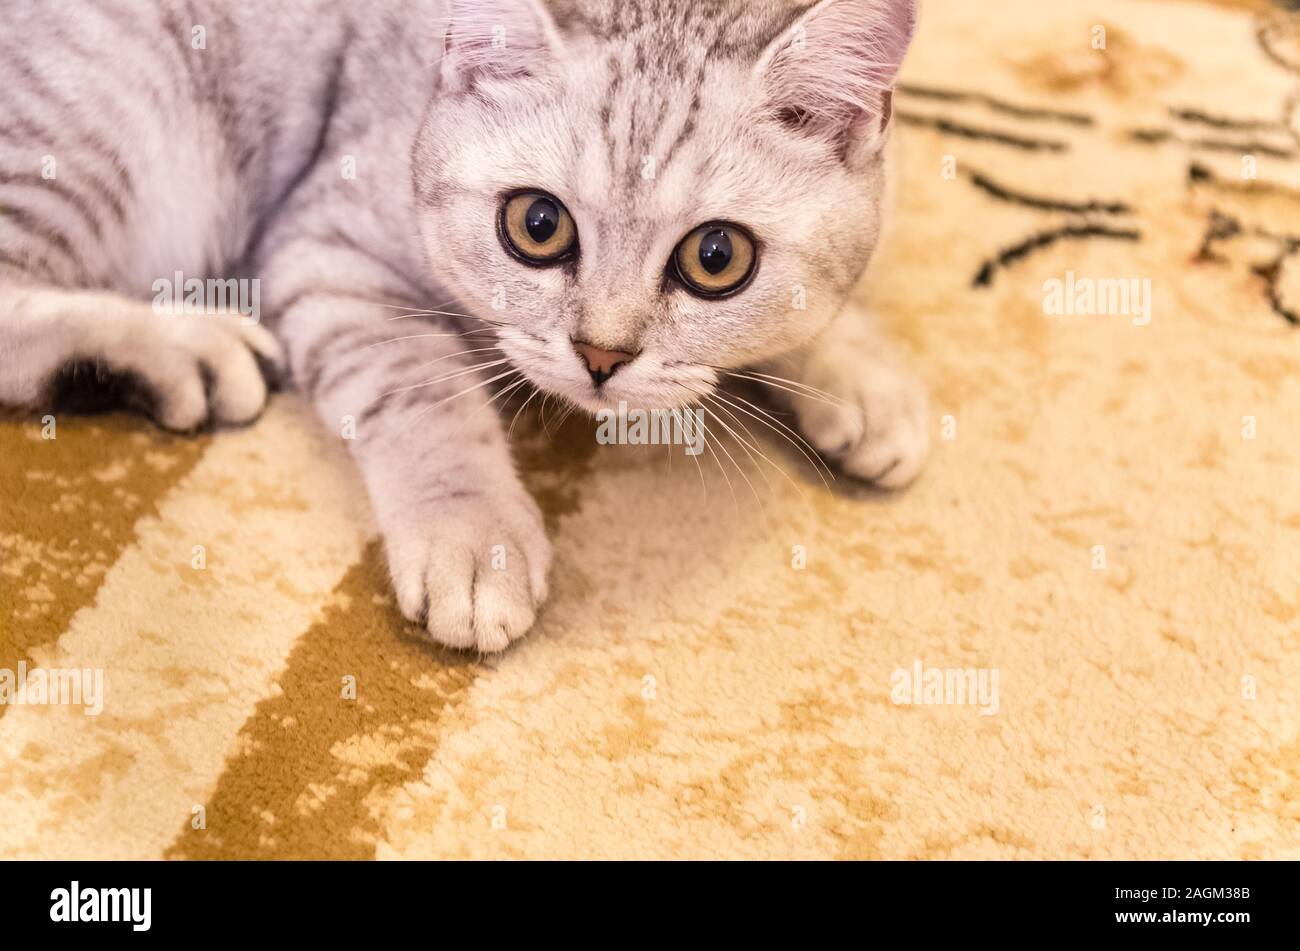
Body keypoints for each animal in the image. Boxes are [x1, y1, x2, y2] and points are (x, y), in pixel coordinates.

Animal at [2, 0, 935, 649]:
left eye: (716, 257)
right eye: (537, 225)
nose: (601, 353)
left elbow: (829, 301)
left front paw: (861, 376)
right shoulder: (325, 252)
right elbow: (426, 394)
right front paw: (473, 535)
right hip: (116, 133)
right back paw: (180, 349)